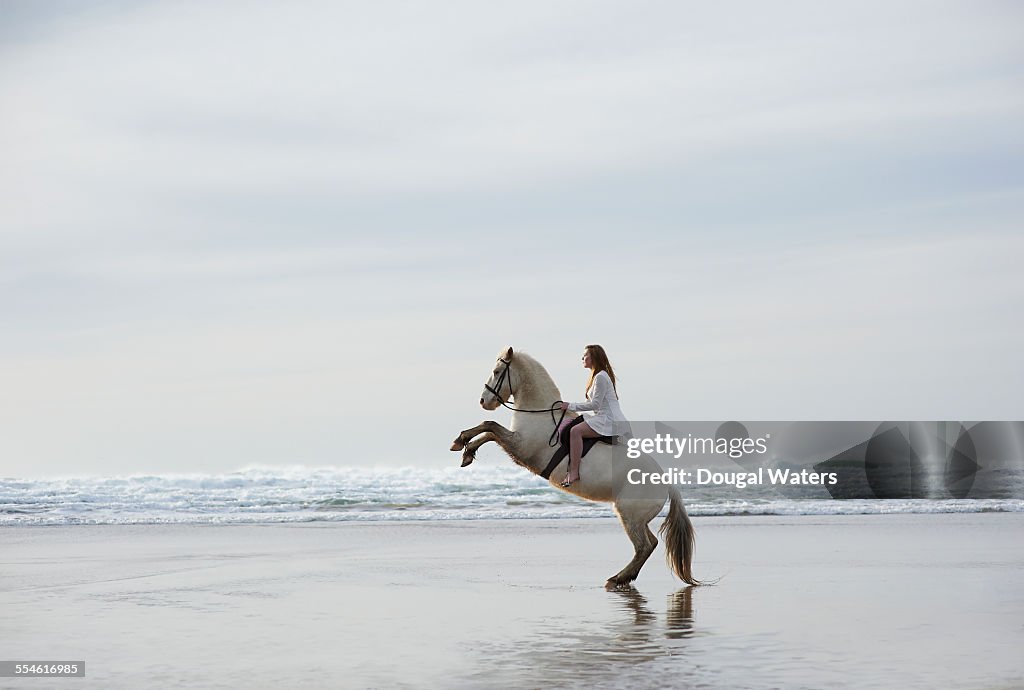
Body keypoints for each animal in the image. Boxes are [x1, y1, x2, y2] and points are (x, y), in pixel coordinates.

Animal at [452, 346, 700, 581]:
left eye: (496, 372)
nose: (484, 401)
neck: (538, 412)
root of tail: (664, 480)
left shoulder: (521, 448)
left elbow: (490, 426)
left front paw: (462, 442)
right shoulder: (516, 444)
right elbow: (489, 431)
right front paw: (465, 451)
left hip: (630, 515)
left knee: (644, 546)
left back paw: (619, 578)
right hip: (635, 518)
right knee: (650, 543)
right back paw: (624, 576)